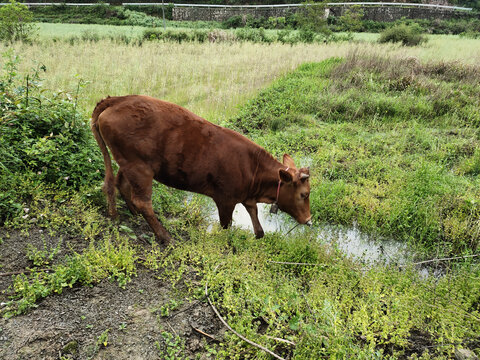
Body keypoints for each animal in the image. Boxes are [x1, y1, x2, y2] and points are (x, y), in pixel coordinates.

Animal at [92, 95, 314, 245]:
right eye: (304, 194)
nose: (309, 220)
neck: (252, 168)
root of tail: (118, 100)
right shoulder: (225, 199)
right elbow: (226, 227)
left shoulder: (247, 197)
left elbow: (259, 229)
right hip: (139, 168)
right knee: (143, 201)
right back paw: (165, 236)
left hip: (129, 163)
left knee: (119, 184)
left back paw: (133, 214)